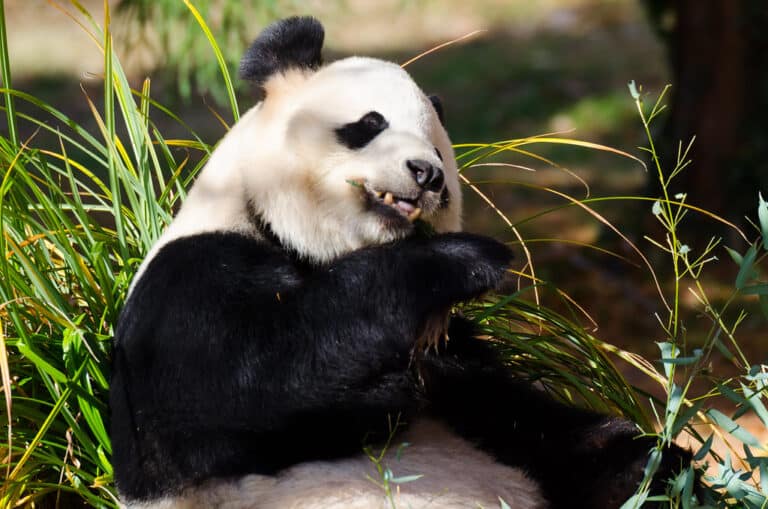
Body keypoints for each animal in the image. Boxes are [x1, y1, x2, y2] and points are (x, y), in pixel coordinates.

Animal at [110, 16, 691, 509]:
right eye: (369, 123)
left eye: (438, 149)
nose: (426, 174)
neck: (297, 242)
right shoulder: (189, 281)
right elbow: (251, 375)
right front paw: (464, 261)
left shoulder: (458, 358)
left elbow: (532, 423)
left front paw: (650, 463)